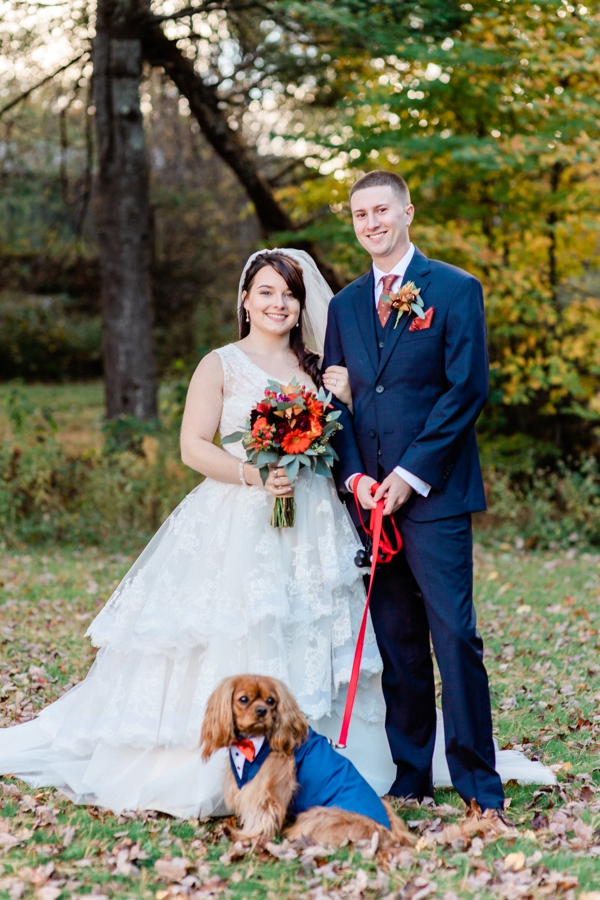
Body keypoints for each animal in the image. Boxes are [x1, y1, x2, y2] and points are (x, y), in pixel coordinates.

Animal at [200, 672, 412, 848]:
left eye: (270, 701)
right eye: (243, 699)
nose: (262, 711)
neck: (252, 742)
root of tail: (388, 831)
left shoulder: (264, 789)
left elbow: (261, 815)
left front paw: (245, 835)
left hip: (317, 815)